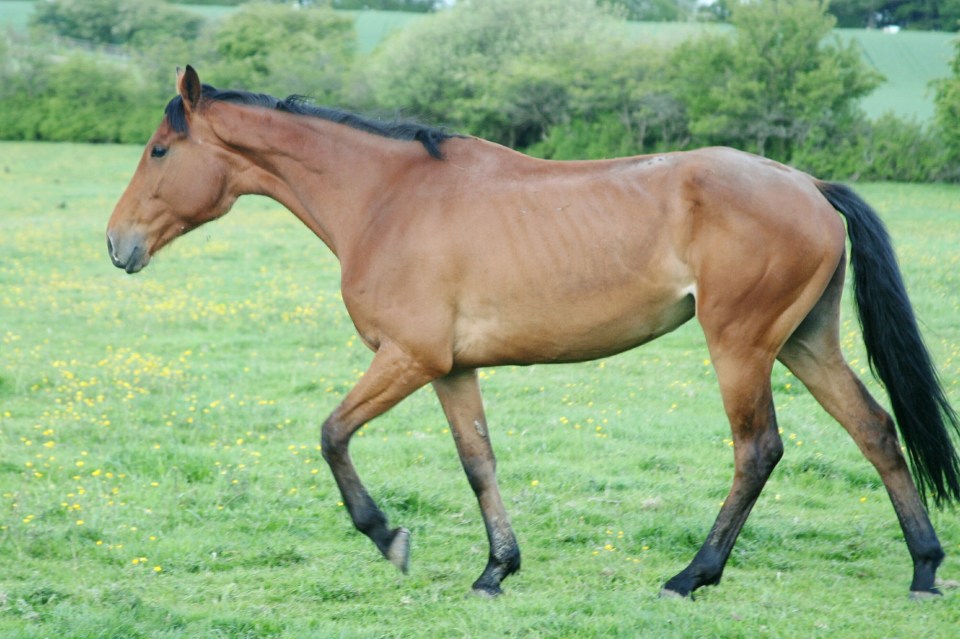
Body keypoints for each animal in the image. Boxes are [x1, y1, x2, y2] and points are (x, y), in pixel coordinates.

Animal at [109, 66, 956, 600]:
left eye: (160, 150)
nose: (117, 243)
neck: (386, 198)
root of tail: (806, 183)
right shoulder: (450, 368)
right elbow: (478, 462)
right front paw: (496, 568)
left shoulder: (408, 358)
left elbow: (331, 434)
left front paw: (388, 535)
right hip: (806, 342)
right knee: (875, 430)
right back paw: (923, 568)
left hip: (741, 347)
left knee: (758, 450)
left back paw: (694, 575)